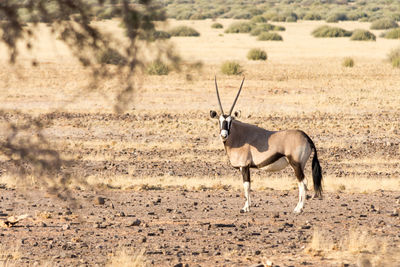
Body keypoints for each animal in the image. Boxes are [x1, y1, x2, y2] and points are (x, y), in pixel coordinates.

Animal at [211, 77, 324, 214]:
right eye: (219, 121)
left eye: (230, 121)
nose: (224, 135)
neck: (238, 136)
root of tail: (306, 137)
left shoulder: (244, 166)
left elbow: (246, 185)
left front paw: (245, 208)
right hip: (299, 165)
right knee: (303, 183)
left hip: (296, 164)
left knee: (303, 182)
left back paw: (298, 208)